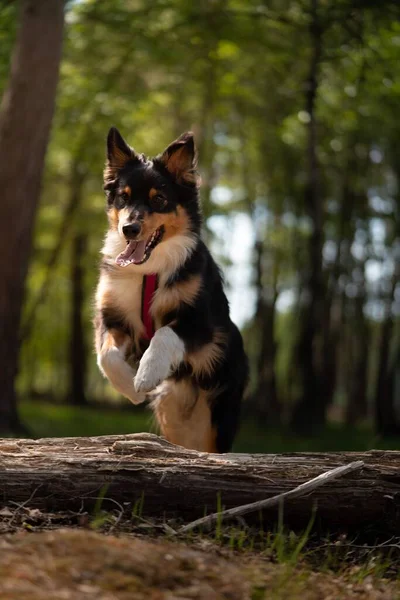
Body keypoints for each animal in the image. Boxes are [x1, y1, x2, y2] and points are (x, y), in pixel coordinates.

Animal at [95, 126, 248, 452]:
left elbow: (165, 332)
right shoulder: (112, 318)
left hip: (216, 415)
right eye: (123, 198)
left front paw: (147, 373)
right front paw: (133, 388)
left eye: (159, 199)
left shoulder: (203, 322)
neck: (149, 271)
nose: (129, 229)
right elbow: (107, 356)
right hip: (173, 413)